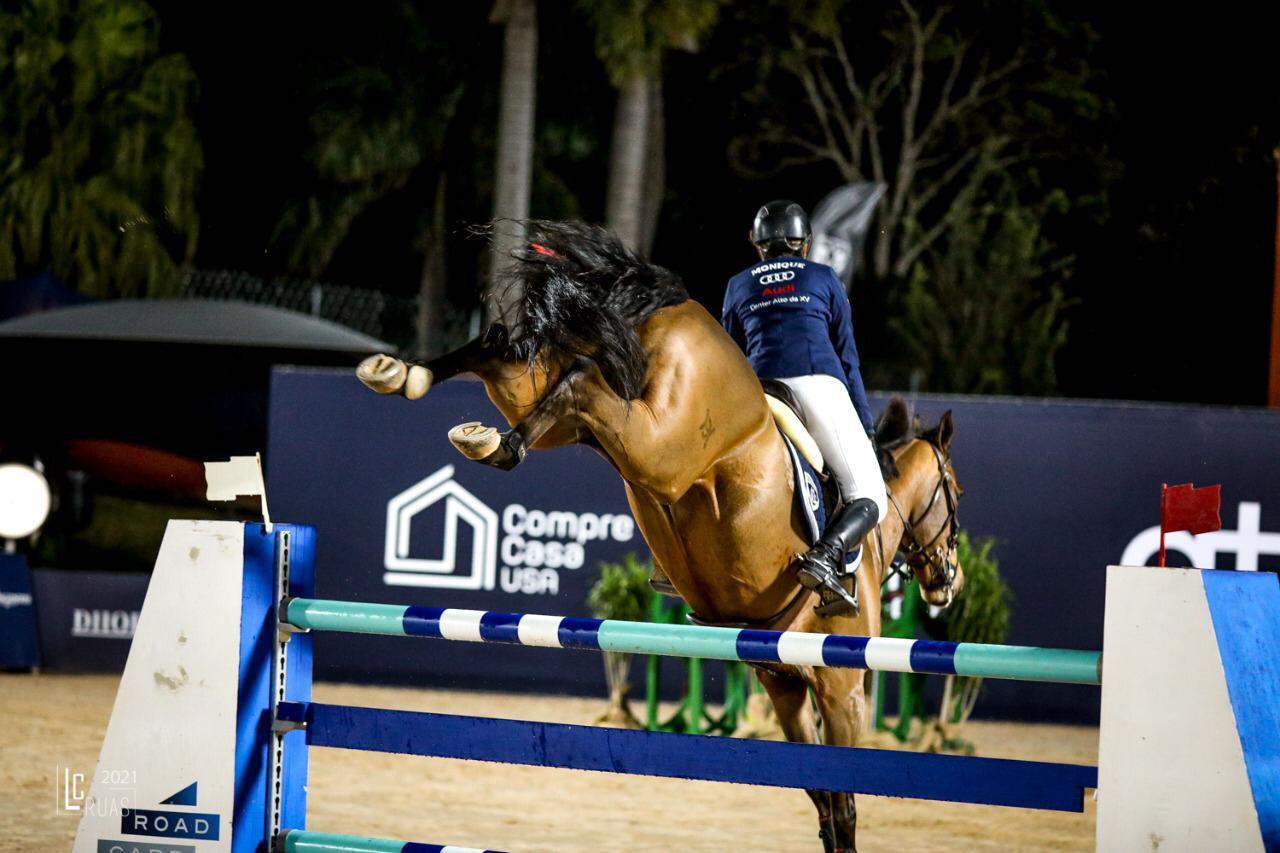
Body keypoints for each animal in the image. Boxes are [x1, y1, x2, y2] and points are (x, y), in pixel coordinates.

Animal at [355, 220, 962, 850]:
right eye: (955, 493)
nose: (948, 581)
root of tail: (667, 306)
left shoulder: (782, 681)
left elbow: (821, 797)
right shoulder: (841, 687)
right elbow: (841, 804)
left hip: (586, 416)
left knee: (521, 361)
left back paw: (424, 390)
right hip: (663, 446)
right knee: (578, 381)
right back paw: (479, 429)